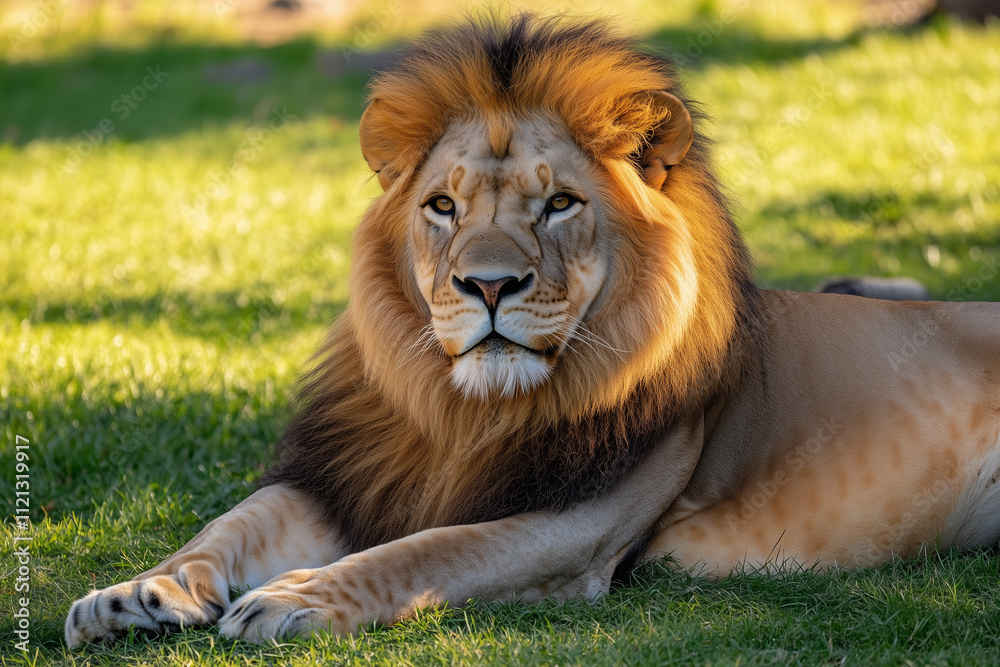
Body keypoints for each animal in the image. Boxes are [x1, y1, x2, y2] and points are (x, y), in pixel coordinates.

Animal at [65, 15, 1000, 646]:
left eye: (558, 204)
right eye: (443, 206)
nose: (488, 284)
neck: (466, 412)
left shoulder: (576, 526)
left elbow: (427, 551)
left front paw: (296, 598)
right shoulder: (350, 474)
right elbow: (227, 524)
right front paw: (136, 593)